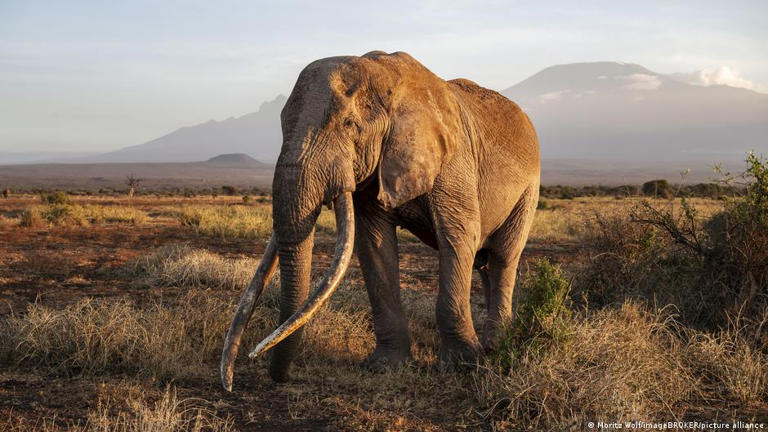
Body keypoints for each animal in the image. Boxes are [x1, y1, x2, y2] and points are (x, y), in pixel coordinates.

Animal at [221, 50, 540, 390]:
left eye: (349, 124)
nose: (271, 373)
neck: (386, 76)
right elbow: (374, 244)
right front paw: (386, 366)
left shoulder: (454, 161)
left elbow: (457, 236)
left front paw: (464, 365)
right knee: (484, 262)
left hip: (529, 189)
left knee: (504, 256)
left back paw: (495, 344)